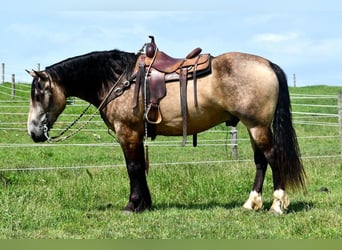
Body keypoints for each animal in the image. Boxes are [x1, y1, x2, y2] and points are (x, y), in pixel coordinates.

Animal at [26, 36, 304, 214]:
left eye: (38, 94)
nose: (33, 131)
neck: (118, 79)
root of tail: (267, 64)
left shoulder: (127, 133)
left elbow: (133, 167)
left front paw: (132, 205)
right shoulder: (137, 134)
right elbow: (139, 167)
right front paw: (145, 204)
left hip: (257, 126)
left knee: (273, 158)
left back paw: (276, 205)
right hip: (253, 127)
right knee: (261, 162)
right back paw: (251, 204)